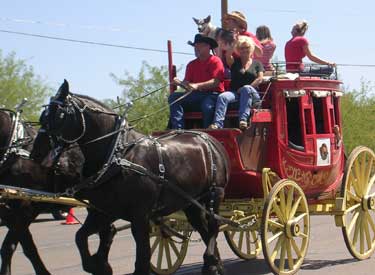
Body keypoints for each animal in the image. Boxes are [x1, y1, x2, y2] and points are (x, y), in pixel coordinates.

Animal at [31, 80, 232, 275]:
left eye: (59, 115)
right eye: (42, 117)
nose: (36, 153)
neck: (117, 155)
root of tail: (210, 139)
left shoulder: (140, 216)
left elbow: (142, 259)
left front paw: (101, 264)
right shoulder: (104, 212)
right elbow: (80, 237)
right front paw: (99, 265)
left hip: (214, 194)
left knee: (214, 226)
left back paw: (211, 262)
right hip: (191, 203)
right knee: (204, 229)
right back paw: (214, 264)